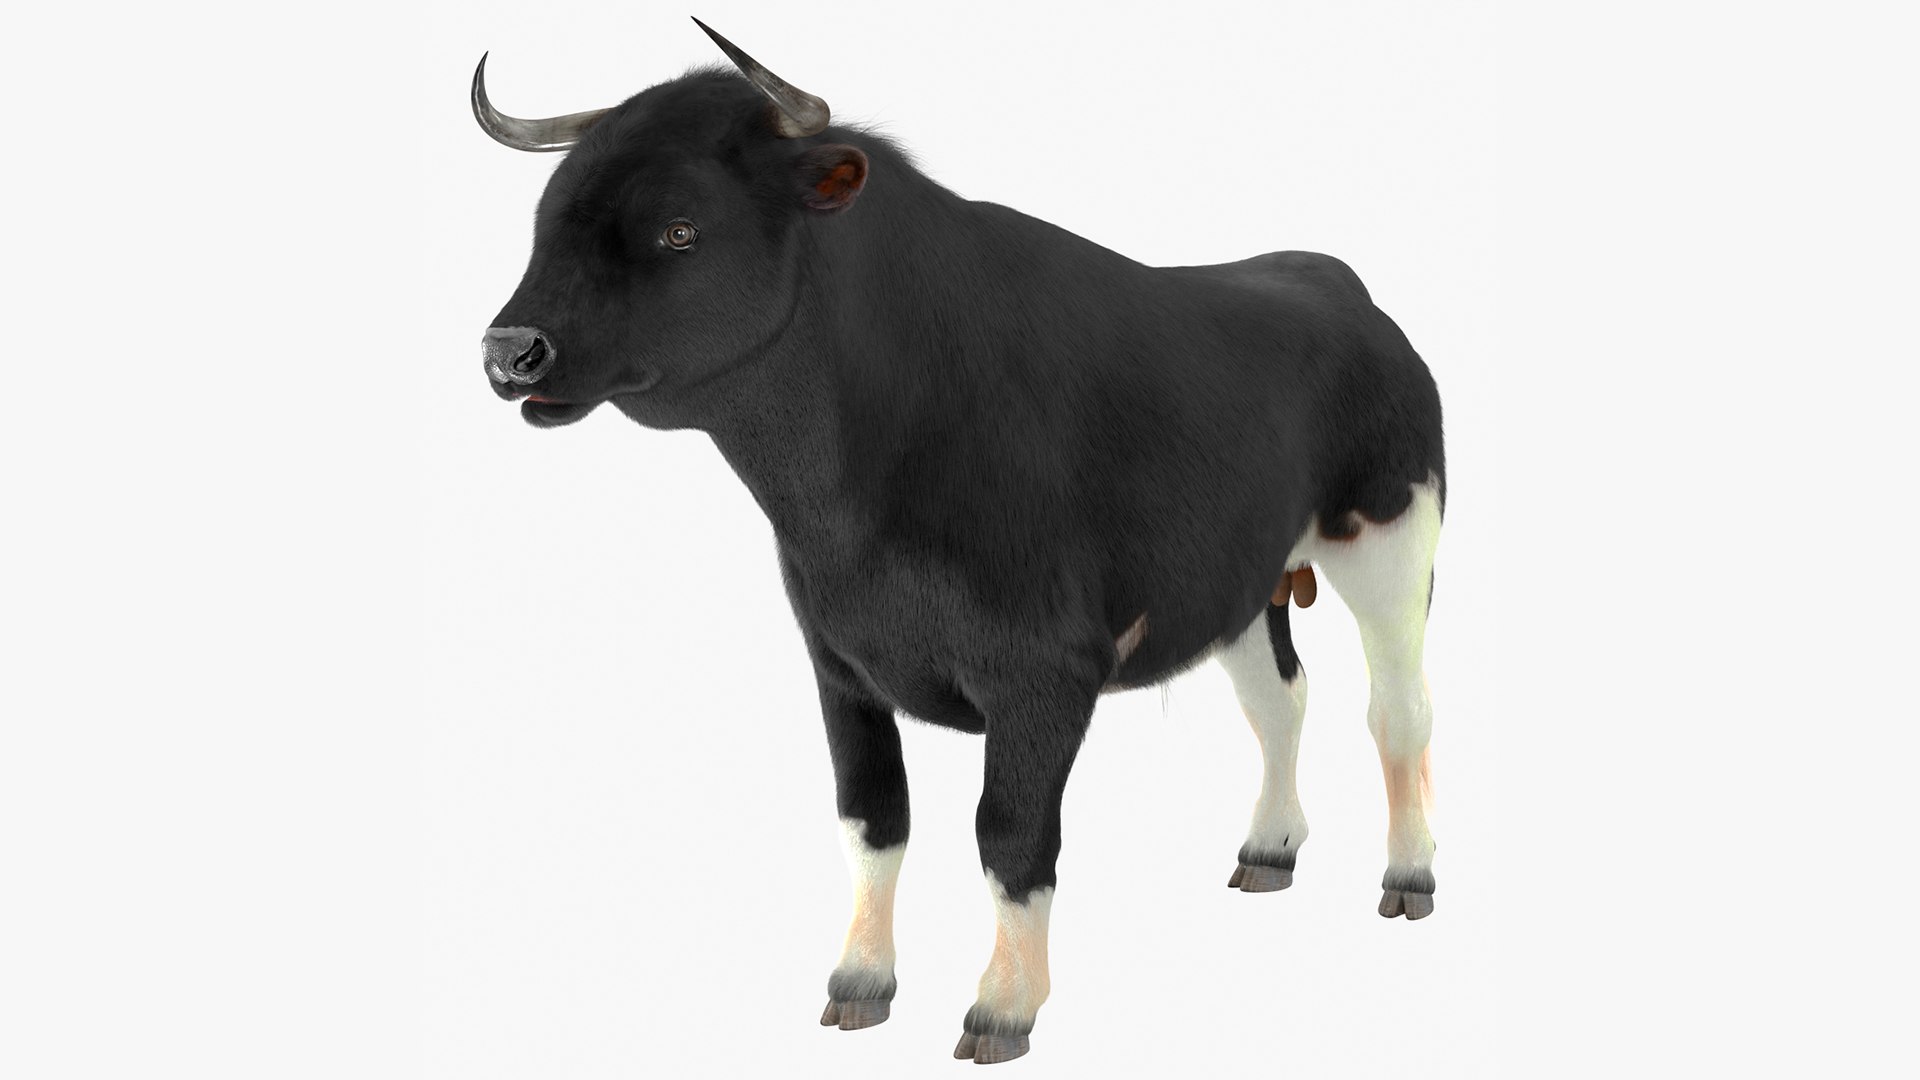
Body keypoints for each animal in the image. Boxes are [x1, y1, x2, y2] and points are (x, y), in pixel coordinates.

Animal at [472, 18, 1445, 1065]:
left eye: (679, 228)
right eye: (549, 221)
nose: (509, 351)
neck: (849, 503)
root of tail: (1329, 277)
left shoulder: (1044, 675)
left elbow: (1011, 837)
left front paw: (1003, 1006)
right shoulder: (838, 663)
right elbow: (873, 819)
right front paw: (860, 982)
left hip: (1393, 543)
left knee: (1397, 711)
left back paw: (1409, 876)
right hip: (1243, 581)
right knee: (1280, 701)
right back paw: (1268, 850)